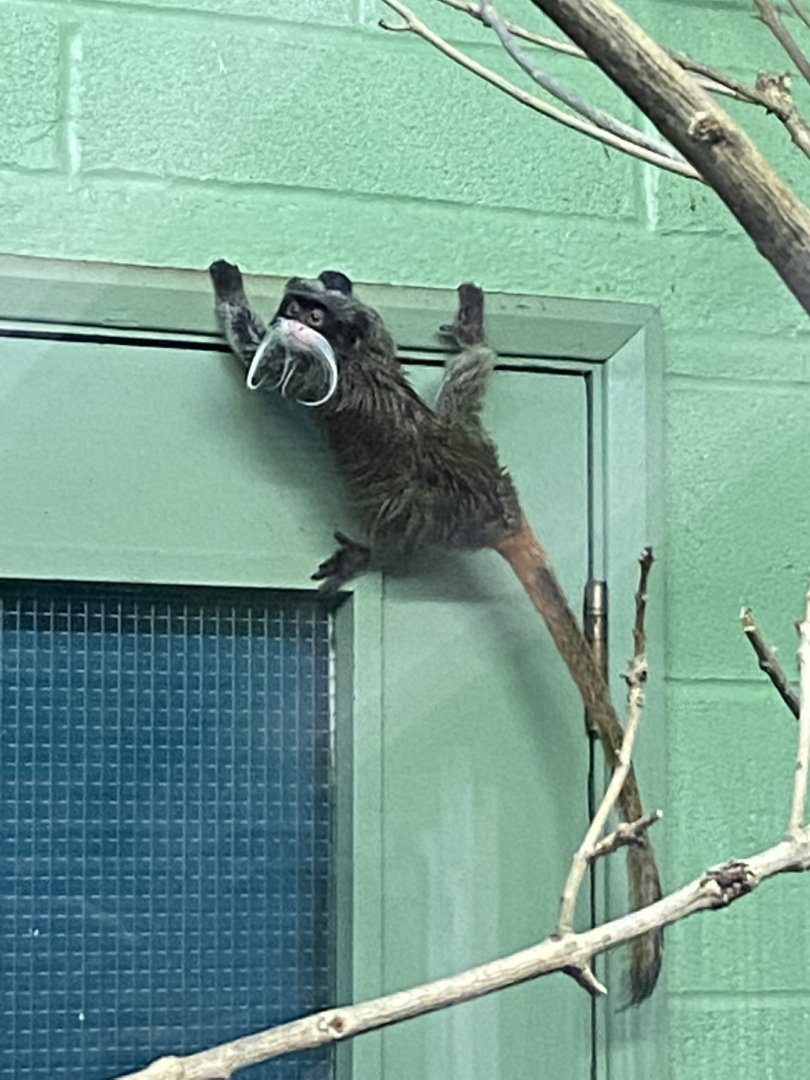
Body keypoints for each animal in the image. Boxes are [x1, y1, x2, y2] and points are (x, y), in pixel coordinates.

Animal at [209, 258, 663, 1004]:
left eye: (308, 311)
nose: (293, 306)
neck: (358, 351)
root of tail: (493, 504)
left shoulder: (310, 371)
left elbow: (258, 355)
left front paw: (230, 290)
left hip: (424, 508)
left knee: (400, 520)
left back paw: (374, 554)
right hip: (470, 438)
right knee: (469, 378)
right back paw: (476, 335)